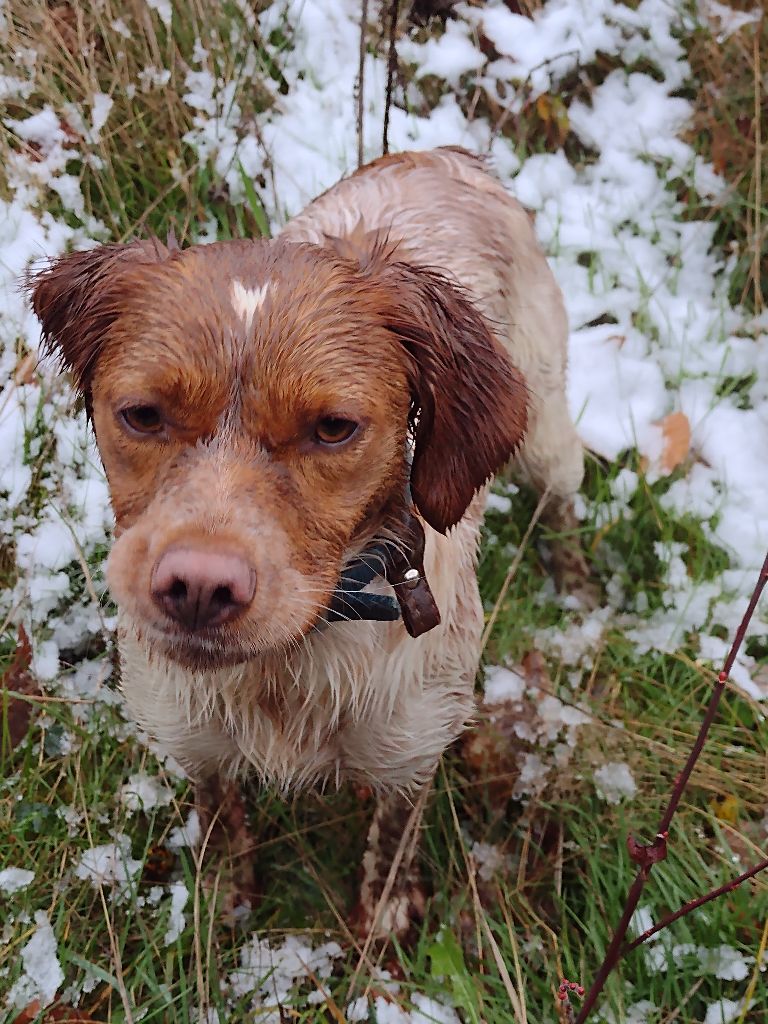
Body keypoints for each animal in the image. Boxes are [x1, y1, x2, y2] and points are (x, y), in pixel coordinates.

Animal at [27, 148, 585, 937]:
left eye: (332, 428)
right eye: (142, 414)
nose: (198, 588)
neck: (287, 666)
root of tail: (442, 154)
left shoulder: (413, 748)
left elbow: (391, 843)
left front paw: (382, 922)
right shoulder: (190, 736)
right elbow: (220, 811)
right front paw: (224, 897)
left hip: (542, 431)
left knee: (562, 493)